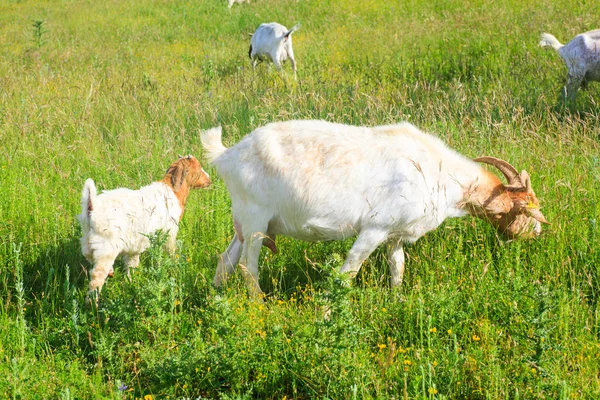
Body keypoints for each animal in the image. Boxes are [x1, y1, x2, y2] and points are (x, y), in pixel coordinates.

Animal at [78, 155, 211, 302]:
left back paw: (111, 273)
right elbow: (171, 251)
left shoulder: (135, 243)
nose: (209, 180)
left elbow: (131, 263)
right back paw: (92, 304)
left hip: (88, 242)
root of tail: (91, 207)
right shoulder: (169, 233)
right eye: (198, 168)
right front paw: (175, 264)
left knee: (90, 258)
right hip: (106, 248)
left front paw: (130, 280)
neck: (172, 191)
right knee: (96, 277)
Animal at [202, 120, 548, 296]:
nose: (537, 233)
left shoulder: (395, 233)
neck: (438, 172)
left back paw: (215, 301)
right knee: (248, 267)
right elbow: (348, 272)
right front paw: (329, 314)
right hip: (256, 219)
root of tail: (226, 155)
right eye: (526, 210)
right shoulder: (374, 228)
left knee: (225, 261)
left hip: (246, 223)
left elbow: (398, 267)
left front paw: (396, 300)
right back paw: (259, 306)